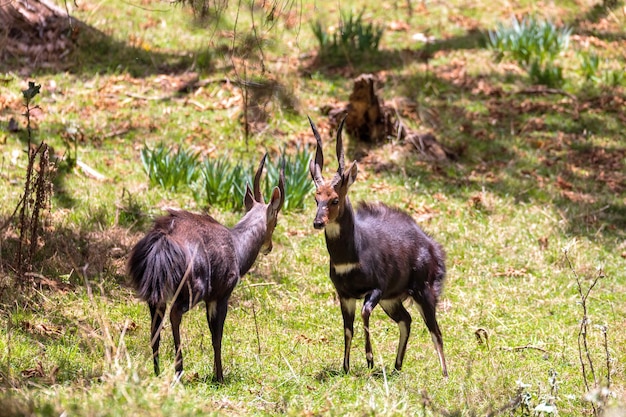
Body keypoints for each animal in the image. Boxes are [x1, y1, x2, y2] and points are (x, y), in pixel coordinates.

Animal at [128, 153, 284, 380]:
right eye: (276, 222)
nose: (269, 247)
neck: (238, 248)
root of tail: (163, 240)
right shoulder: (221, 294)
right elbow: (216, 335)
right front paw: (219, 376)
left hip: (154, 289)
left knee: (156, 323)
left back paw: (157, 372)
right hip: (194, 288)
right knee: (175, 314)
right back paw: (178, 371)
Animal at [306, 115, 444, 376]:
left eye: (335, 199)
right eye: (316, 198)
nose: (318, 222)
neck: (350, 257)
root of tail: (432, 246)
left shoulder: (377, 288)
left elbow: (365, 312)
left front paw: (369, 359)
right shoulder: (345, 294)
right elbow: (347, 328)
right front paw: (346, 367)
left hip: (423, 290)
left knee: (435, 330)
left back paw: (444, 375)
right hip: (393, 299)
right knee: (406, 319)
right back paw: (397, 367)